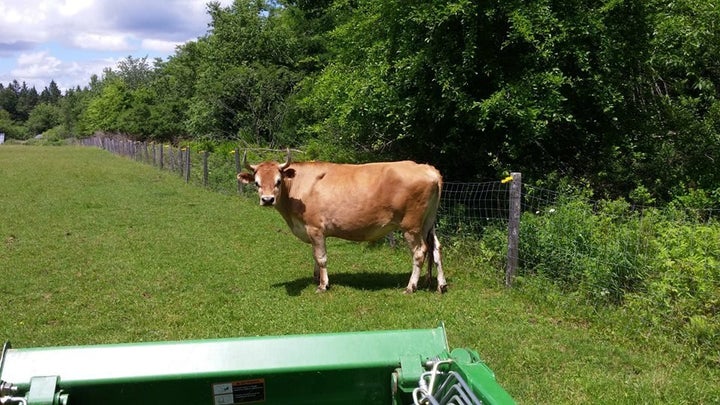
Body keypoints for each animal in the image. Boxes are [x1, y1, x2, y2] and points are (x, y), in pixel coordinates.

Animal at [239, 149, 448, 294]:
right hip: (428, 223)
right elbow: (314, 255)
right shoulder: (310, 230)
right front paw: (316, 278)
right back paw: (441, 285)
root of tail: (427, 168)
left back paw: (410, 287)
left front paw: (323, 285)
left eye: (278, 181)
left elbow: (321, 257)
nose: (267, 200)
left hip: (411, 226)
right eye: (257, 183)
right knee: (436, 248)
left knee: (419, 252)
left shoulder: (315, 228)